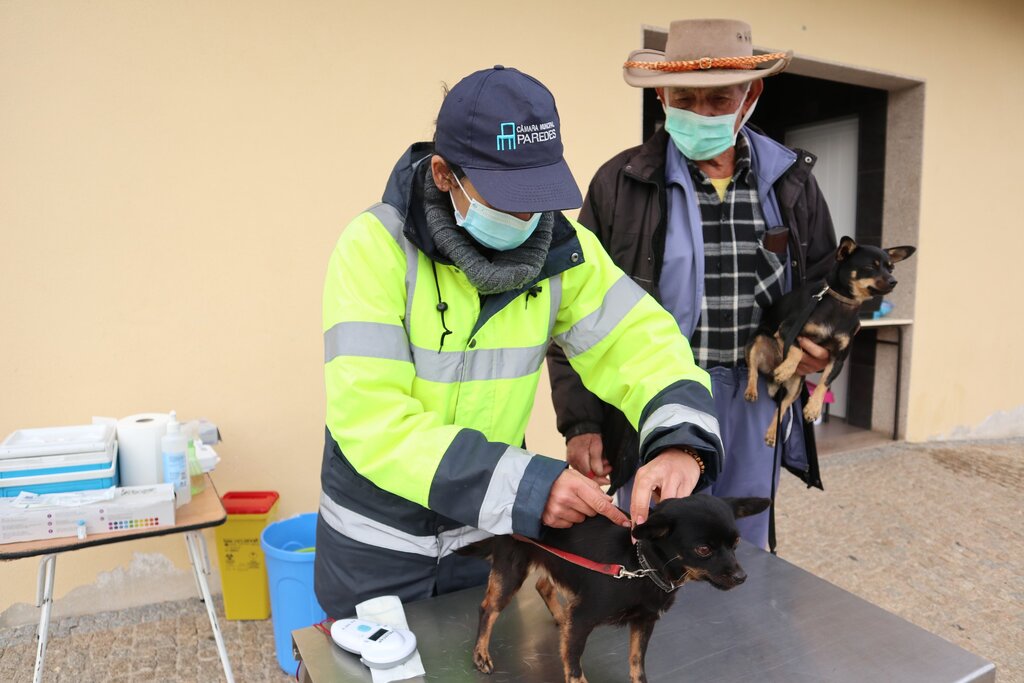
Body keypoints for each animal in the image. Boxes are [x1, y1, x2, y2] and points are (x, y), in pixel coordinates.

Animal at [458, 493, 770, 683]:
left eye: (736, 544)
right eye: (703, 549)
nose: (742, 576)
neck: (640, 564)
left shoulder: (644, 622)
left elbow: (637, 661)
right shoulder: (583, 618)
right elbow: (573, 663)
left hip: (554, 563)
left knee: (544, 585)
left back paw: (560, 617)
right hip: (512, 571)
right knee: (488, 608)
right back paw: (481, 654)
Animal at [741, 236, 917, 448]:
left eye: (891, 268)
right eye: (870, 267)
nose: (894, 281)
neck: (842, 304)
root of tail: (768, 372)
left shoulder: (838, 359)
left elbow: (825, 381)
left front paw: (814, 408)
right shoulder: (787, 329)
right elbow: (798, 350)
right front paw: (785, 369)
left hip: (795, 388)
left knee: (781, 409)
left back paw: (772, 433)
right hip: (758, 340)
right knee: (752, 369)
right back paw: (753, 389)